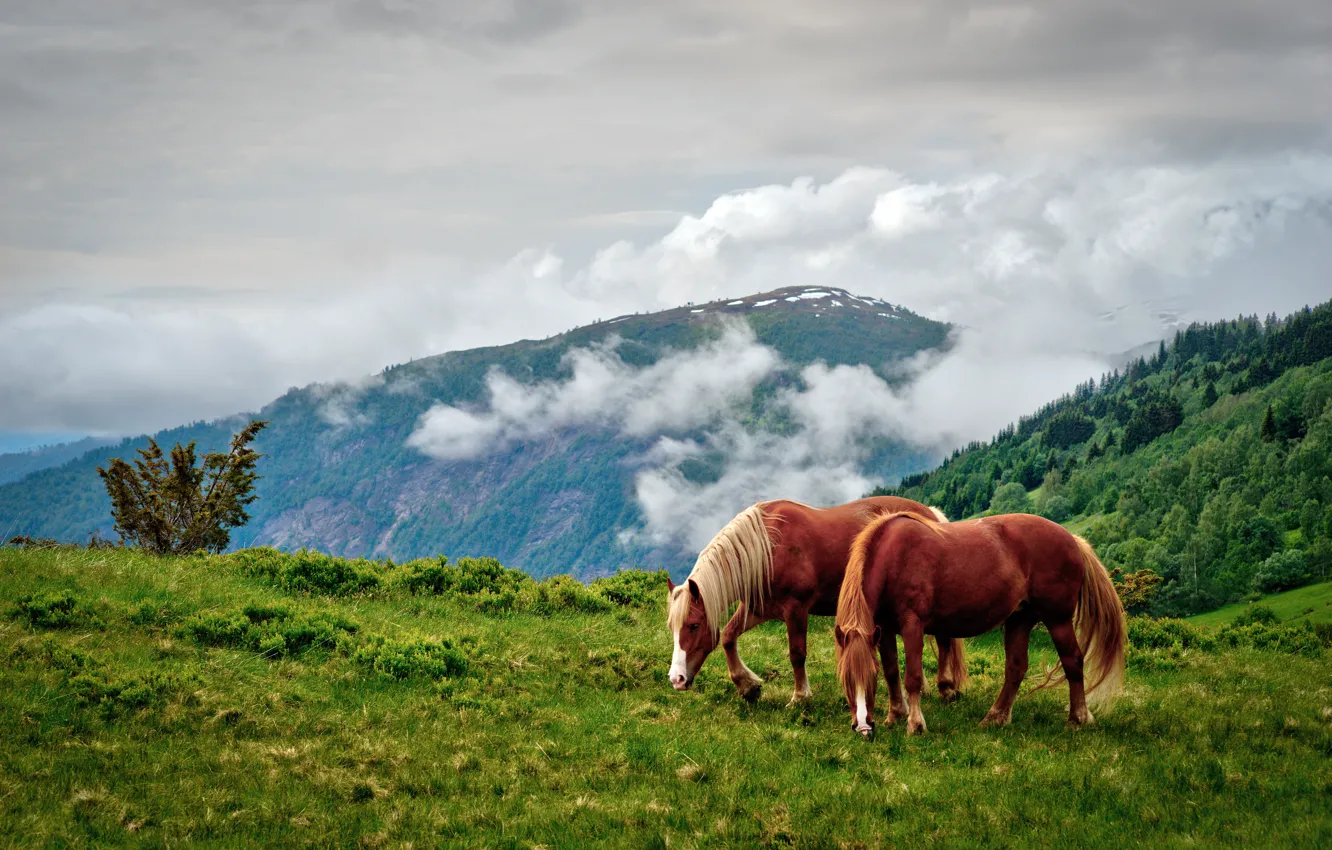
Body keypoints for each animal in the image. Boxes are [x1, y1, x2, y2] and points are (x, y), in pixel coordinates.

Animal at [666, 495, 969, 708]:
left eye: (693, 625)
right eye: (672, 628)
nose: (676, 679)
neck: (766, 547)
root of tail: (931, 514)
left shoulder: (796, 609)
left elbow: (797, 653)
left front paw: (800, 696)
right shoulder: (758, 609)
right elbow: (728, 636)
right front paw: (748, 687)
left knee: (944, 640)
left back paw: (946, 687)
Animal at [831, 511, 1124, 740]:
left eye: (869, 679)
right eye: (846, 679)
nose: (863, 728)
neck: (894, 556)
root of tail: (1073, 540)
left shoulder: (912, 625)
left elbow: (912, 677)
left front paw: (915, 724)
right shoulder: (884, 628)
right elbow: (892, 672)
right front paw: (895, 715)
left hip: (1057, 620)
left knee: (1073, 661)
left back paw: (1077, 718)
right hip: (1020, 619)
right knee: (1016, 668)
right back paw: (995, 717)